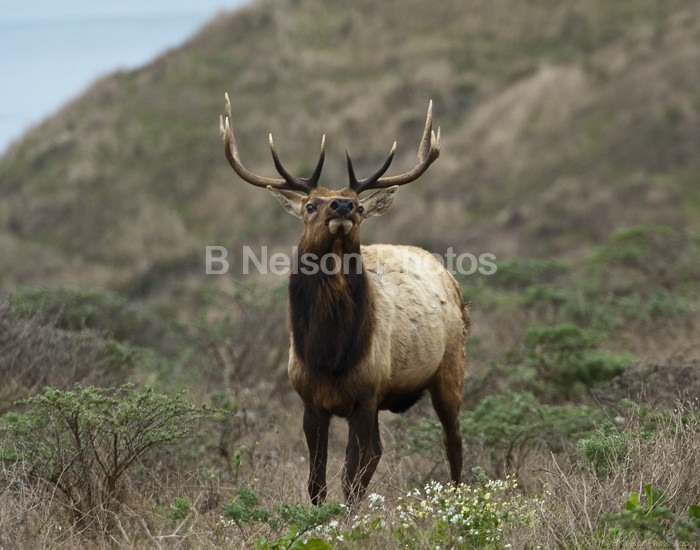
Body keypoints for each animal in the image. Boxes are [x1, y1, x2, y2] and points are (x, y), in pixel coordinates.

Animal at [219, 95, 470, 508]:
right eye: (310, 205)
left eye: (361, 206)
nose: (342, 206)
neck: (329, 353)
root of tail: (445, 272)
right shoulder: (309, 400)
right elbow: (317, 483)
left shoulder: (365, 393)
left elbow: (349, 477)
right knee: (380, 451)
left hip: (450, 367)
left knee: (453, 442)